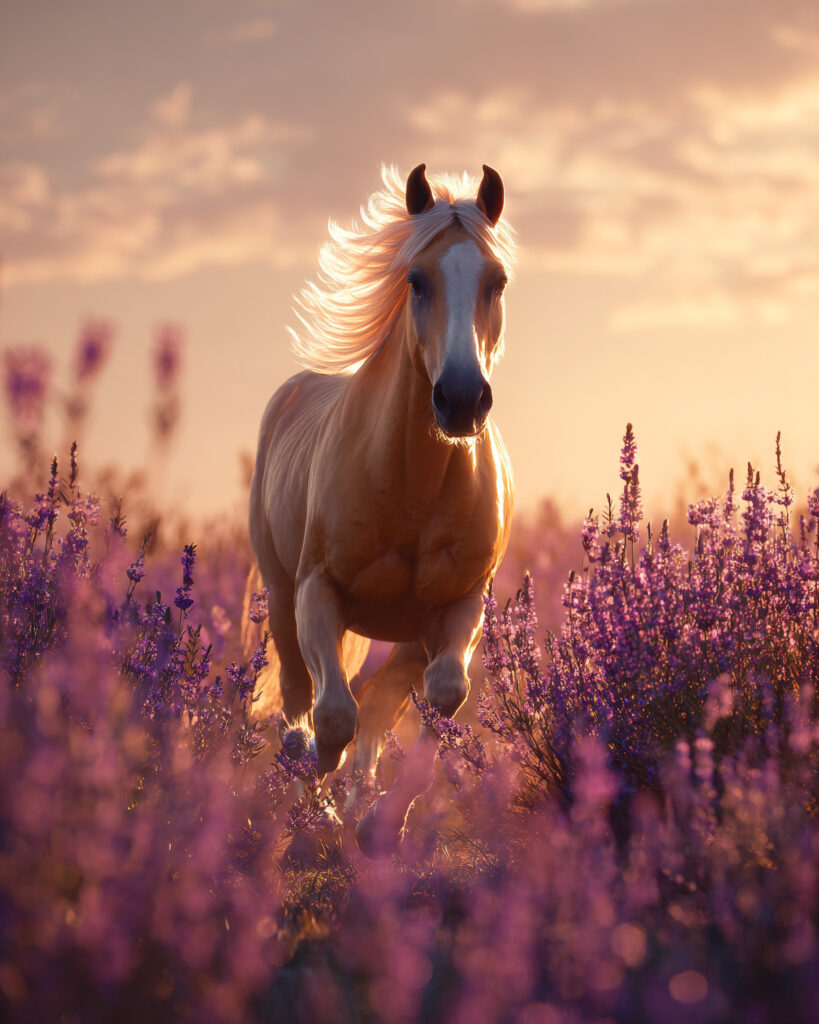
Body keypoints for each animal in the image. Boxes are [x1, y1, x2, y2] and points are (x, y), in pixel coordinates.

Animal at [248, 163, 515, 853]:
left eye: (496, 281)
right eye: (416, 281)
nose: (461, 398)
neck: (412, 488)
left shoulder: (459, 604)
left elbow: (441, 698)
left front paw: (382, 822)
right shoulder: (317, 592)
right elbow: (331, 716)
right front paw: (317, 799)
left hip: (410, 633)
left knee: (380, 699)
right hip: (282, 598)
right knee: (300, 697)